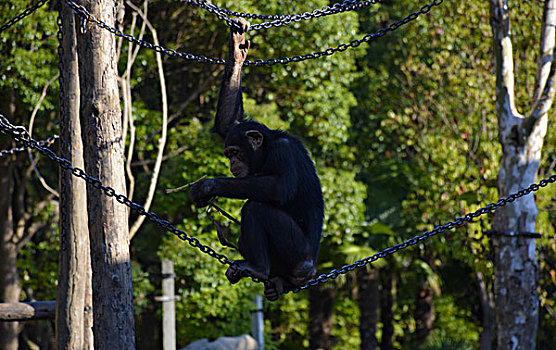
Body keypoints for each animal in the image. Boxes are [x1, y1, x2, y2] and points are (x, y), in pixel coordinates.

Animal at [189, 17, 324, 300]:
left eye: (236, 153)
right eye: (229, 154)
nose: (232, 163)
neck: (267, 148)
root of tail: (310, 272)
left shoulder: (284, 152)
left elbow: (278, 187)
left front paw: (207, 186)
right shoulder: (236, 127)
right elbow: (229, 122)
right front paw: (237, 51)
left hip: (299, 257)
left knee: (257, 207)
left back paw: (258, 268)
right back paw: (275, 282)